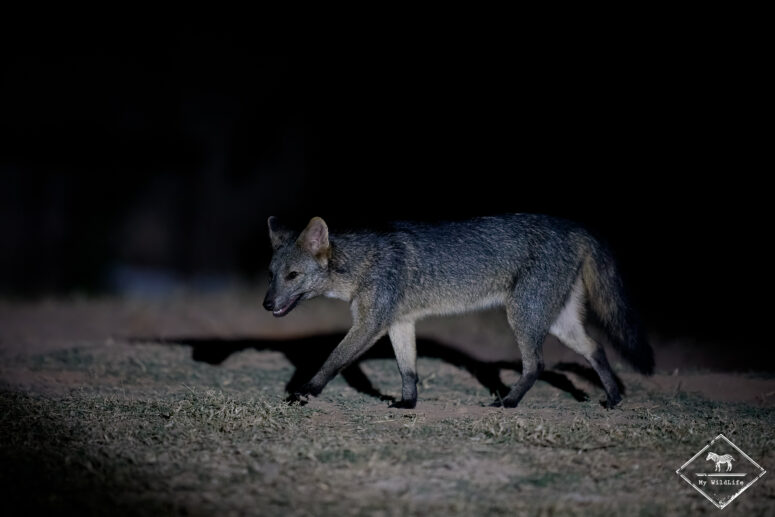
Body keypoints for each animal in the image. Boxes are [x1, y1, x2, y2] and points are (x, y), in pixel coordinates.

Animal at [263, 214, 654, 409]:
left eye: (292, 276)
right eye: (271, 275)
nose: (266, 304)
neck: (362, 262)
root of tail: (575, 226)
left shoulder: (370, 324)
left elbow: (332, 360)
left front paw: (304, 392)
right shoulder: (399, 322)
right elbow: (409, 370)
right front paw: (408, 404)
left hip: (523, 315)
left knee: (537, 365)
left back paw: (509, 402)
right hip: (557, 322)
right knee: (596, 348)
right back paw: (613, 398)